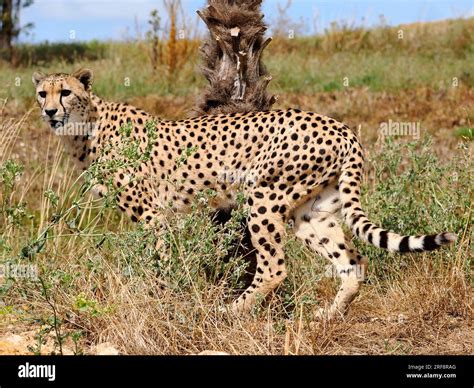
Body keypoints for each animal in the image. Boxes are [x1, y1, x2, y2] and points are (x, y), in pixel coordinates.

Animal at [31, 69, 458, 318]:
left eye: (65, 92)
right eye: (42, 93)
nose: (50, 112)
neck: (86, 126)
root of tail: (339, 126)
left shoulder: (154, 216)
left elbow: (159, 263)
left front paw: (160, 298)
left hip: (262, 196)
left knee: (274, 267)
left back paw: (229, 312)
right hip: (311, 212)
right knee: (351, 262)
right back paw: (327, 316)